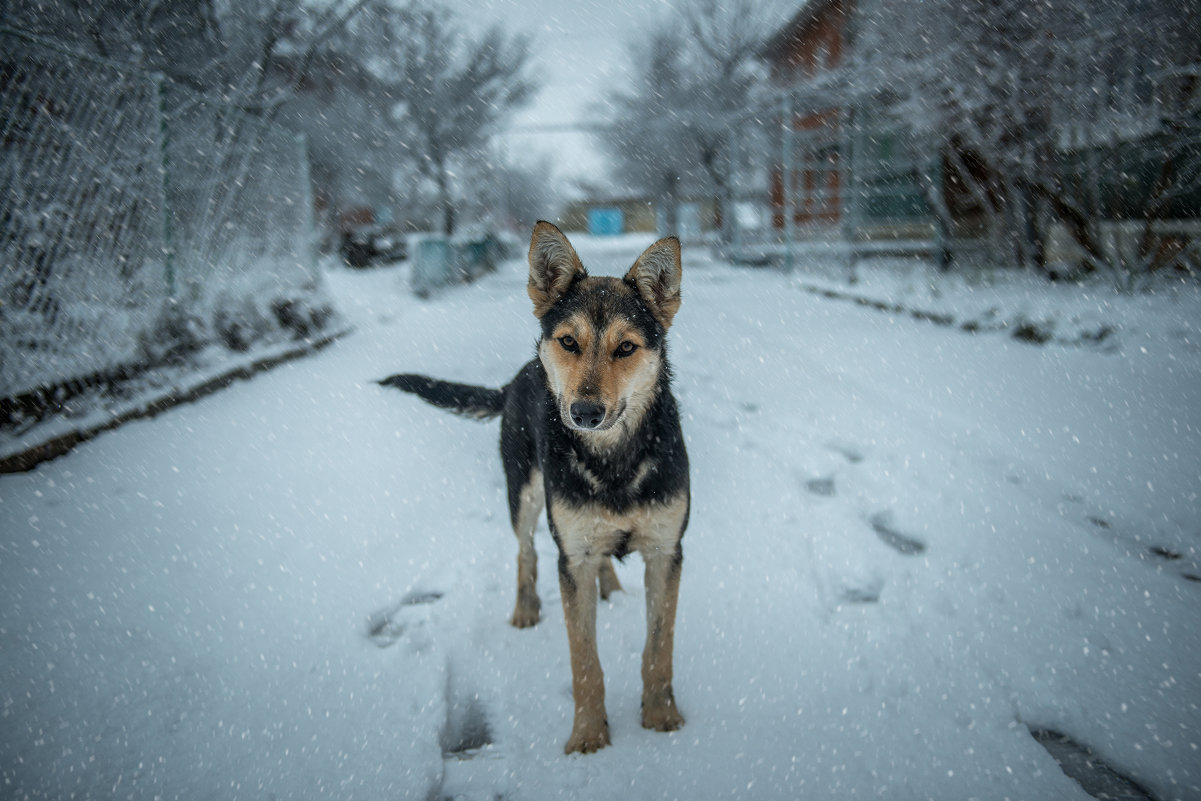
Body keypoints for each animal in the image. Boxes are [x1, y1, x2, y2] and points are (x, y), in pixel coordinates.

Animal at [379, 219, 691, 754]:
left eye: (626, 348)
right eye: (568, 342)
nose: (584, 414)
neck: (612, 460)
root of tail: (517, 378)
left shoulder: (666, 552)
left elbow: (660, 647)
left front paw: (660, 715)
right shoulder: (571, 560)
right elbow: (584, 660)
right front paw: (588, 734)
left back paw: (609, 586)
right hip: (523, 496)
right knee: (525, 551)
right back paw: (526, 607)